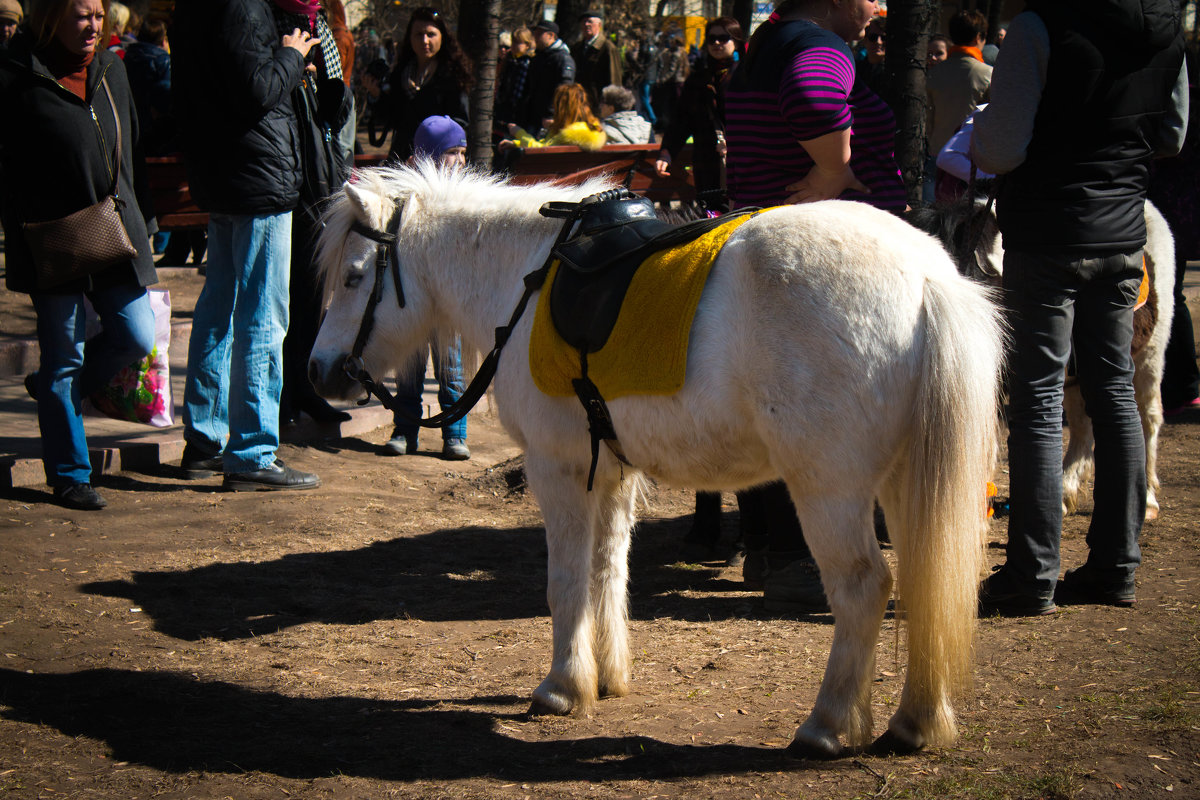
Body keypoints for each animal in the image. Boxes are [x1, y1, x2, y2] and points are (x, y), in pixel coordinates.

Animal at [307, 164, 1003, 758]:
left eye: (354, 277)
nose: (321, 374)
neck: (525, 283)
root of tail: (928, 277)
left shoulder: (556, 470)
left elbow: (566, 581)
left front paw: (562, 688)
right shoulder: (612, 473)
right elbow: (608, 571)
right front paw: (608, 677)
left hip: (829, 489)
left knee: (863, 587)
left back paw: (826, 726)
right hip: (903, 482)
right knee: (926, 573)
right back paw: (915, 722)